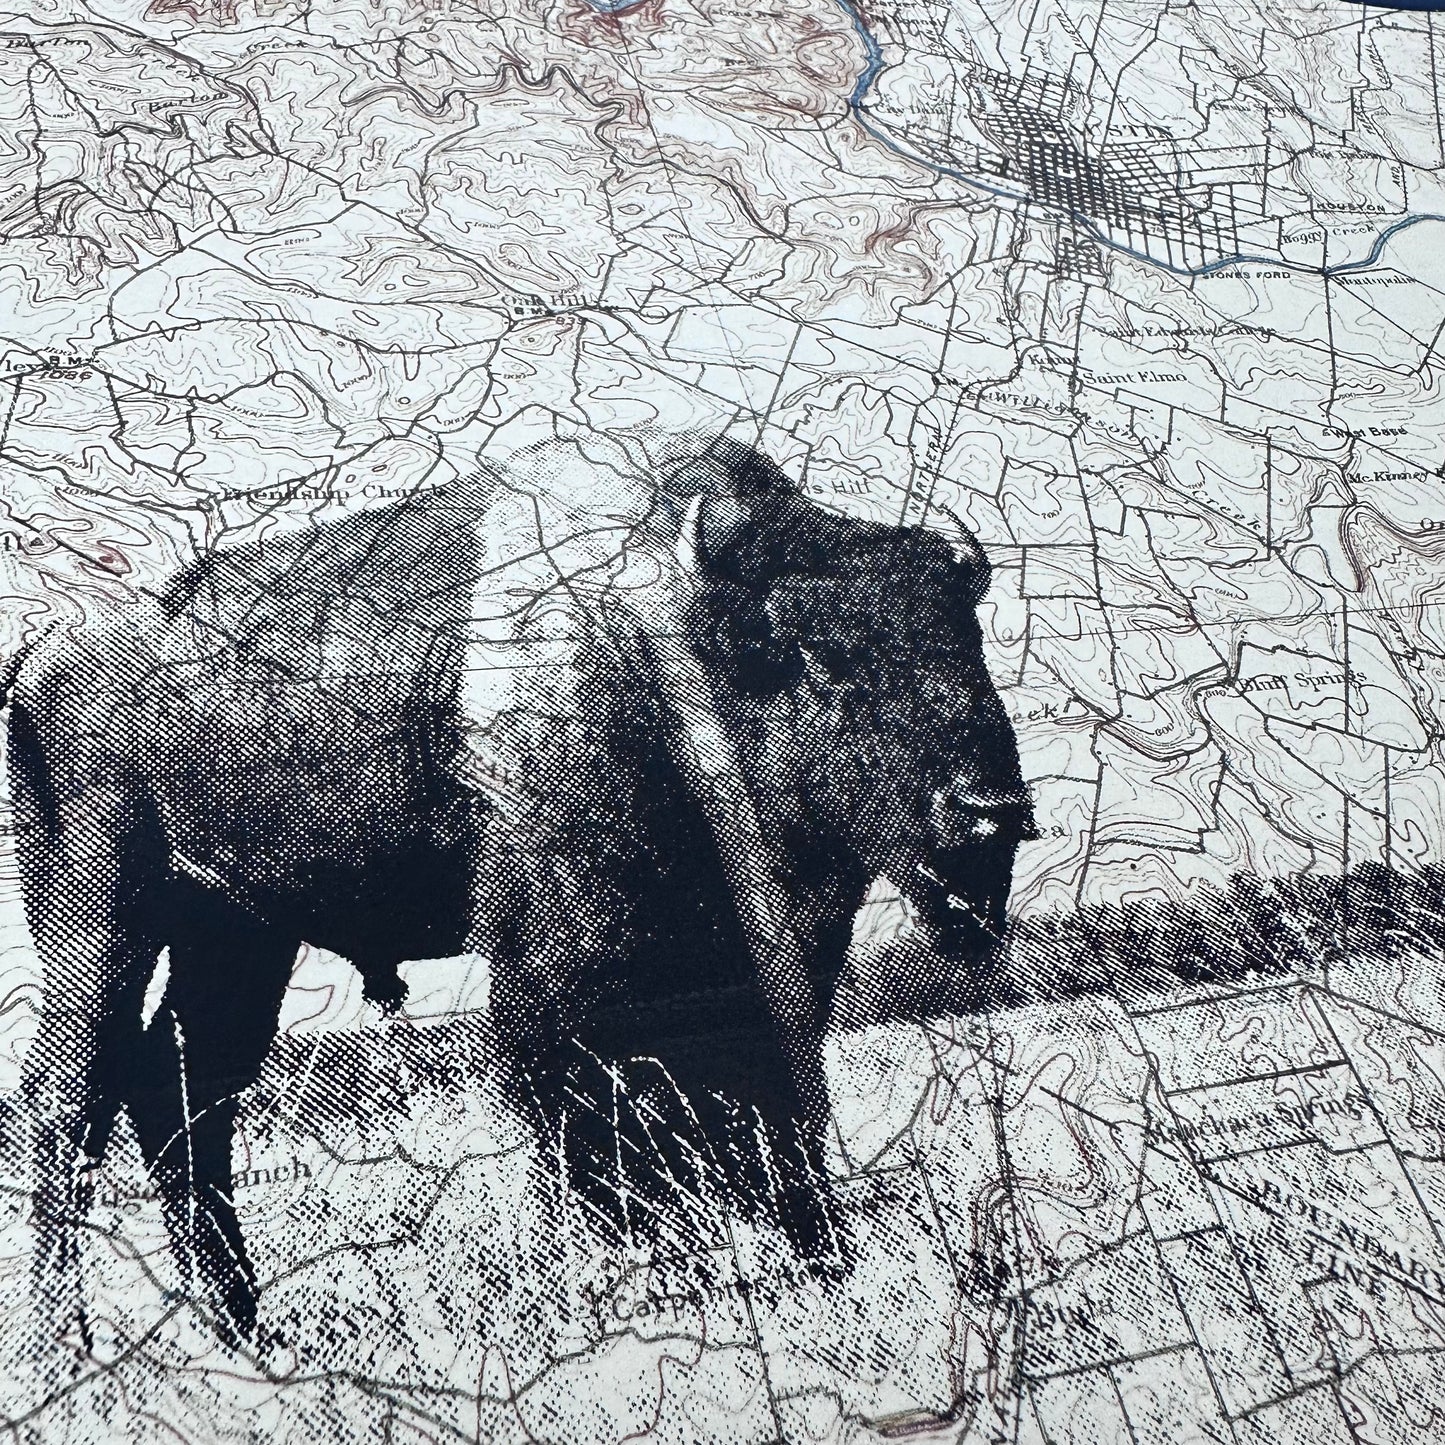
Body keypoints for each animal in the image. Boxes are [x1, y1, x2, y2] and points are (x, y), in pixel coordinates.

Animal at [7, 431, 1034, 1348]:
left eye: (967, 636)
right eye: (822, 658)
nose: (991, 812)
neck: (660, 642)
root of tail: (46, 653)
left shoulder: (761, 961)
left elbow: (758, 1094)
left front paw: (808, 1265)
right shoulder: (559, 965)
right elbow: (583, 1103)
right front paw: (632, 1280)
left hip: (237, 935)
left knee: (182, 1087)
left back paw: (243, 1329)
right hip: (99, 921)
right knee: (68, 1102)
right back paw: (72, 1343)